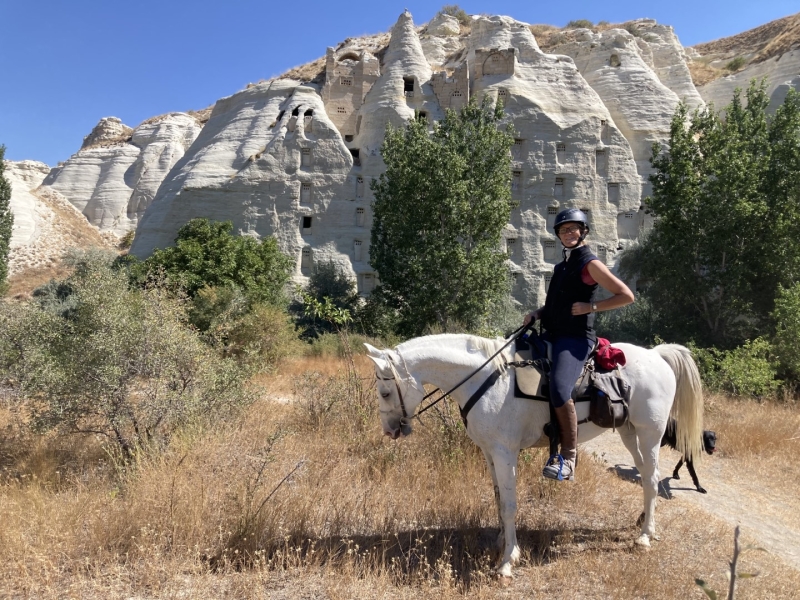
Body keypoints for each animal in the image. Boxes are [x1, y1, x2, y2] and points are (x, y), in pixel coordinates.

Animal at [366, 336, 704, 580]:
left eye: (385, 392)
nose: (390, 431)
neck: (485, 381)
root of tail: (657, 355)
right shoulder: (490, 453)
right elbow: (499, 498)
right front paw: (502, 542)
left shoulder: (505, 453)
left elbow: (510, 505)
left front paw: (507, 561)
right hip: (629, 432)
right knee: (646, 477)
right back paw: (644, 524)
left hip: (650, 434)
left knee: (651, 477)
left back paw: (645, 536)